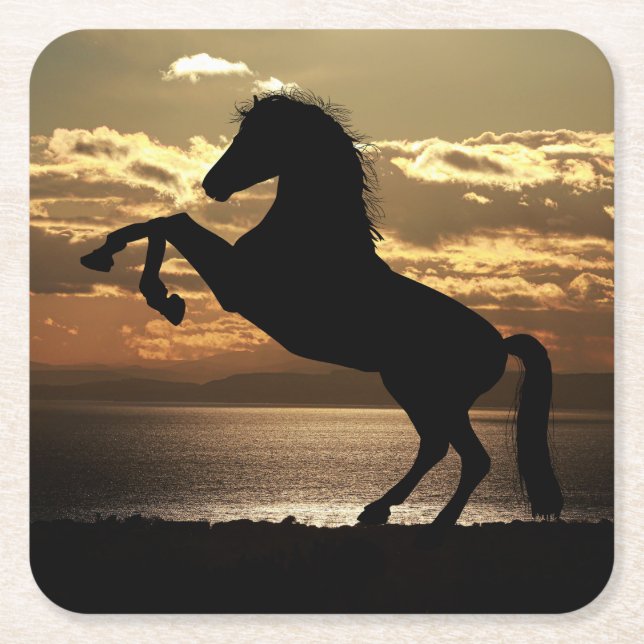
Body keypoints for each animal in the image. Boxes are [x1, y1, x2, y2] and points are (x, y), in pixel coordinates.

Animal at [80, 89, 563, 535]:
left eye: (256, 136)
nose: (211, 184)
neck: (312, 236)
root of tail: (499, 344)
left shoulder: (237, 285)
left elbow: (171, 222)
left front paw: (155, 292)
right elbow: (164, 222)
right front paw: (116, 265)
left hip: (427, 393)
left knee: (467, 456)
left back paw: (430, 520)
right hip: (421, 393)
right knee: (438, 447)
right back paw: (378, 510)